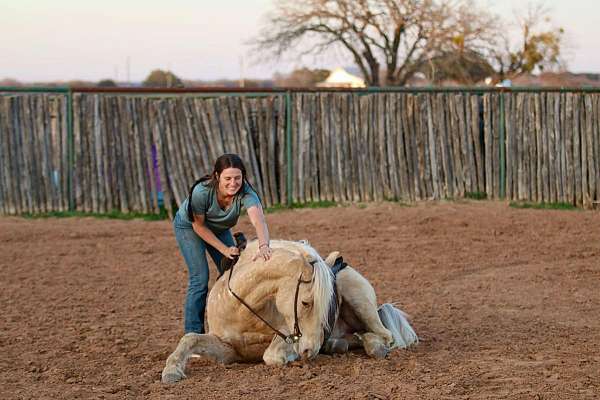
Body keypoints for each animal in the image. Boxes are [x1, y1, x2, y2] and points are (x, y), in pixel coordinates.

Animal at [162, 239, 420, 382]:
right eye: (306, 303)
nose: (310, 350)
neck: (243, 310)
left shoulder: (286, 335)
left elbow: (271, 355)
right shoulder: (228, 351)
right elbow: (190, 339)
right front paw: (171, 371)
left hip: (360, 301)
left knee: (384, 336)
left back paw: (373, 346)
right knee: (356, 336)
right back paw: (336, 344)